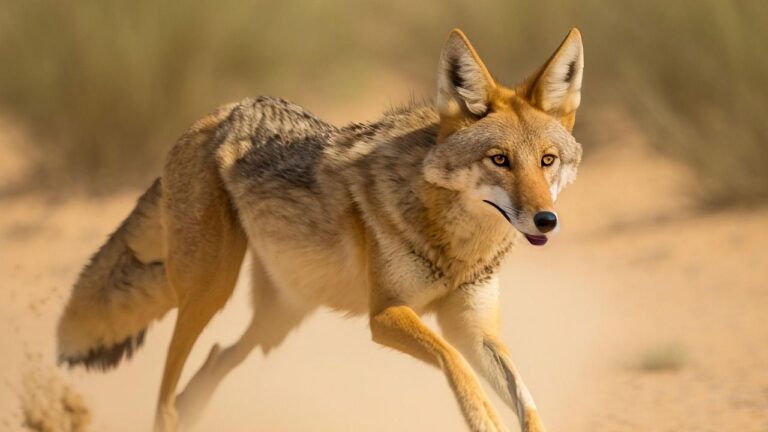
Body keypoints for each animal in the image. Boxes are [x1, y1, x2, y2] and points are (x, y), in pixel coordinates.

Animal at [56, 28, 584, 432]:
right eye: (500, 160)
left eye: (546, 161)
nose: (546, 220)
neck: (458, 249)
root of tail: (219, 112)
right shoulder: (386, 314)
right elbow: (457, 368)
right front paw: (484, 419)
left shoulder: (474, 329)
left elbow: (527, 402)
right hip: (210, 291)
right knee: (169, 390)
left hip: (279, 316)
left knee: (212, 363)